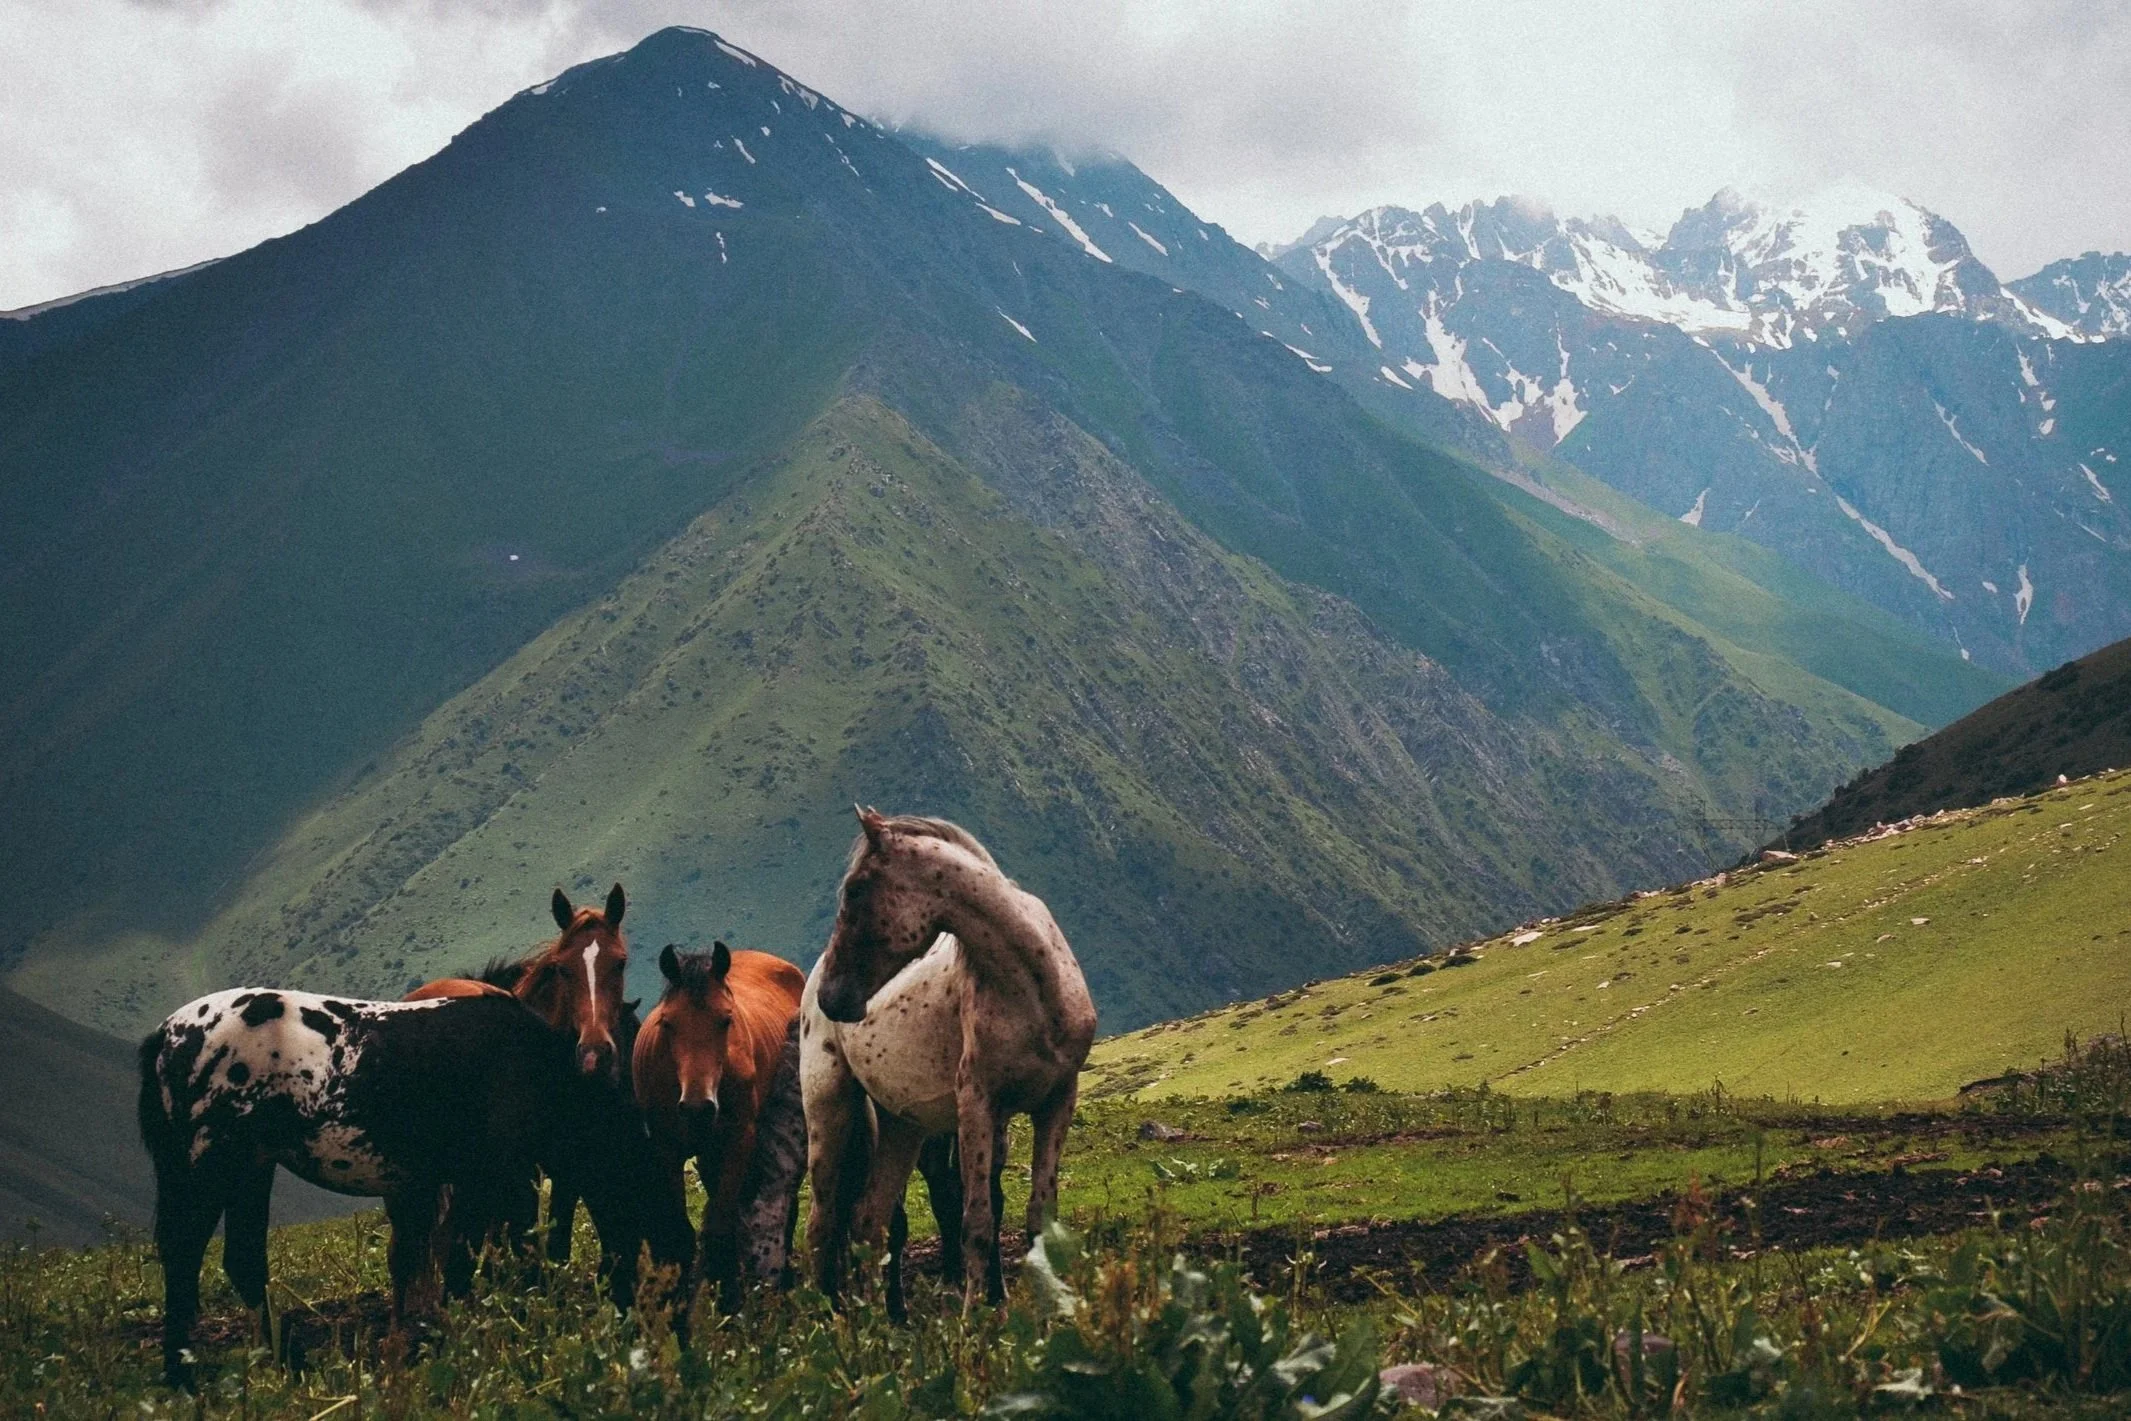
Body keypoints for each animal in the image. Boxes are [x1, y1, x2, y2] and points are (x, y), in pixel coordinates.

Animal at [138, 988, 691, 1388]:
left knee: (243, 1261)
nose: (674, 1332)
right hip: (210, 1165)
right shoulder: (489, 1176)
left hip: (251, 1166)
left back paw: (281, 1362)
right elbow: (475, 1260)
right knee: (184, 1258)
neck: (535, 1069)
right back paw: (182, 1375)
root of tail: (167, 1033)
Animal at [633, 942, 807, 1305]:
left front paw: (728, 1300)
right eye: (667, 1023)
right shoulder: (666, 1148)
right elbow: (682, 1232)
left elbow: (719, 1227)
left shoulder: (739, 1141)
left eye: (726, 1020)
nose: (697, 1107)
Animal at [802, 808, 1097, 1307]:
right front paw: (975, 1309)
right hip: (830, 1114)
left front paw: (1047, 1303)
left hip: (902, 1127)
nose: (833, 998)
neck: (1034, 989)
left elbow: (1039, 1216)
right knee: (822, 1226)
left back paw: (873, 1317)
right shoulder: (977, 1104)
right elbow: (976, 1219)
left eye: (856, 889)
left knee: (867, 1223)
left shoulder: (1057, 1101)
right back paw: (826, 1316)